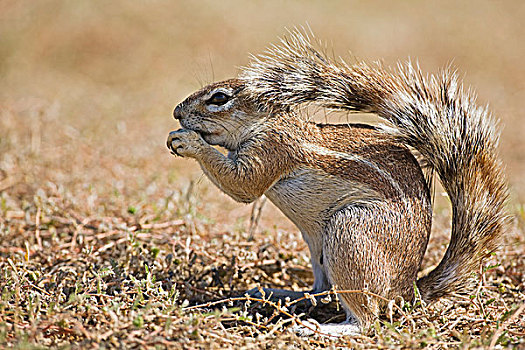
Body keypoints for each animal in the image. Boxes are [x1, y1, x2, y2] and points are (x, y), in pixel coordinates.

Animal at [167, 32, 508, 336]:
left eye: (219, 98)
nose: (176, 111)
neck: (270, 123)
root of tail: (405, 292)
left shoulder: (271, 150)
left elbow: (243, 185)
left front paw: (188, 141)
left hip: (350, 233)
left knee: (367, 320)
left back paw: (323, 329)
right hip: (318, 246)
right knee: (321, 290)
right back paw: (280, 293)